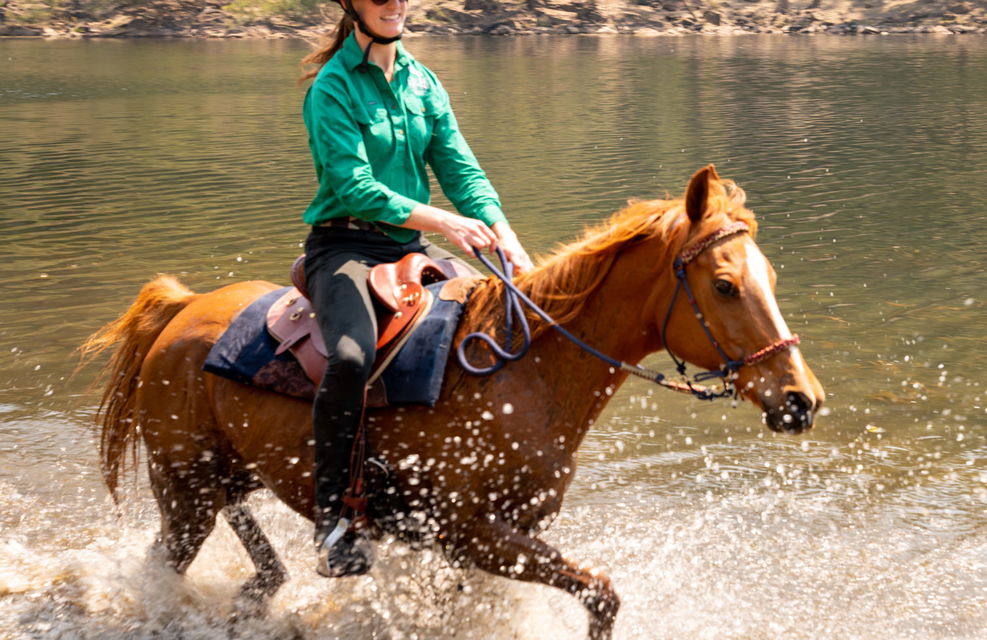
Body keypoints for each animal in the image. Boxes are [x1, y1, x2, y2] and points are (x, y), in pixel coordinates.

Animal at [82, 166, 824, 640]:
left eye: (769, 275)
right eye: (724, 285)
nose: (801, 400)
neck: (527, 376)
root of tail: (181, 310)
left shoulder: (491, 540)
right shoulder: (473, 533)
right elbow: (601, 591)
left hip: (222, 478)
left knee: (247, 548)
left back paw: (257, 591)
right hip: (184, 486)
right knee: (162, 564)